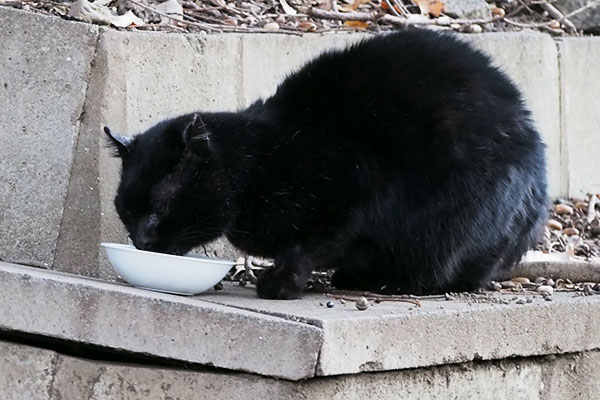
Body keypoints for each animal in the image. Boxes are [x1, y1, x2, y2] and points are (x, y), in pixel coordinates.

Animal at [105, 28, 548, 300]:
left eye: (158, 209)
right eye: (125, 210)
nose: (140, 241)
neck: (264, 160)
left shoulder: (351, 198)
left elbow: (307, 247)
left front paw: (280, 283)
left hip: (458, 214)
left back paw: (394, 282)